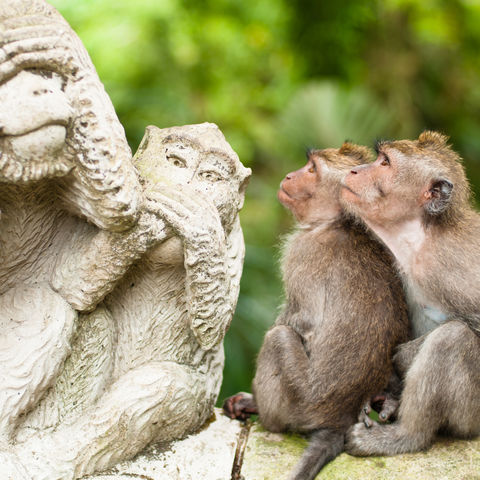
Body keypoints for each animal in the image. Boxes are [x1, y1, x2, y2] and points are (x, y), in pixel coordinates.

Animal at [223, 143, 406, 480]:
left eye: (312, 169)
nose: (289, 175)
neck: (337, 222)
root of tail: (338, 419)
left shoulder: (302, 251)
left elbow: (301, 320)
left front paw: (251, 397)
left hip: (301, 401)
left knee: (279, 338)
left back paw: (264, 413)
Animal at [342, 131, 480, 458]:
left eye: (385, 163)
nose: (354, 171)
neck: (420, 236)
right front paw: (390, 394)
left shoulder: (449, 266)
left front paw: (401, 359)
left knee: (452, 339)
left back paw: (405, 437)